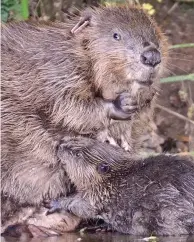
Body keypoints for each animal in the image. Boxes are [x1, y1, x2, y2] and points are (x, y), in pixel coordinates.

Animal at [0, 4, 167, 234]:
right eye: (116, 35)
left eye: (156, 35)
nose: (151, 56)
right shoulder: (57, 70)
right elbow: (66, 106)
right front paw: (120, 105)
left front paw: (121, 139)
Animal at [49, 137, 194, 235]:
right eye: (77, 139)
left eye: (77, 154)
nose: (60, 146)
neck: (116, 179)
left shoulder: (99, 196)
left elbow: (81, 207)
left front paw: (54, 203)